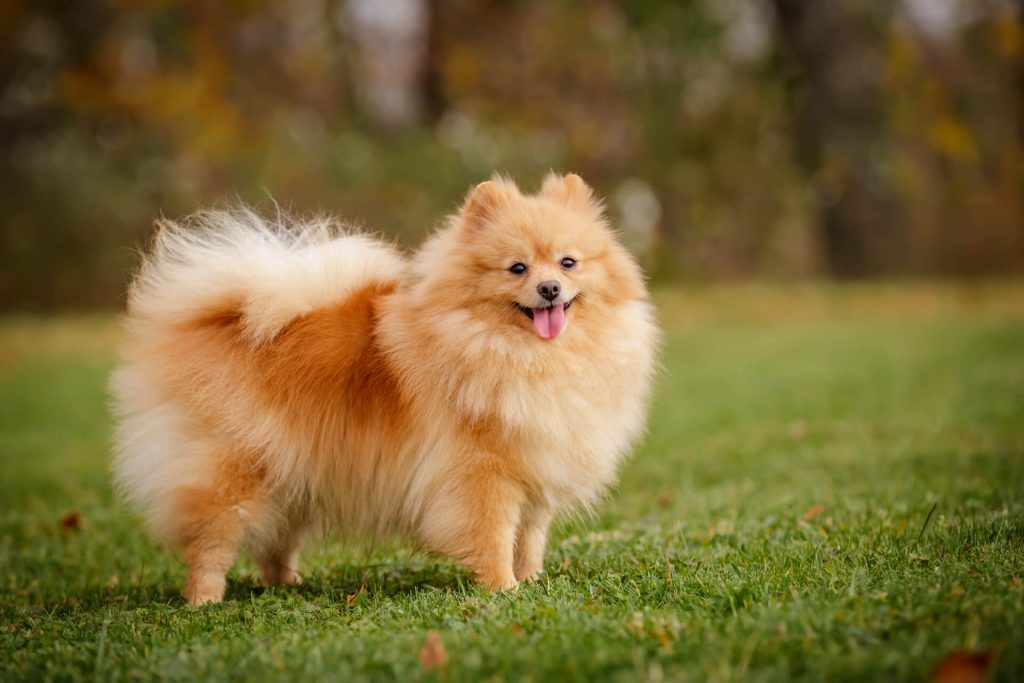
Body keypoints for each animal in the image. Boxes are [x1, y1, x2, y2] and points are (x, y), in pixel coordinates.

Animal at [110, 175, 655, 602]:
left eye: (568, 263)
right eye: (517, 267)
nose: (549, 289)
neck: (525, 355)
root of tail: (226, 315)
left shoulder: (537, 472)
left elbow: (530, 540)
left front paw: (533, 581)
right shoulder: (482, 477)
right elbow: (494, 537)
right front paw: (504, 590)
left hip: (292, 474)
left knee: (274, 543)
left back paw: (286, 585)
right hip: (233, 473)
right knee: (211, 541)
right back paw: (204, 600)